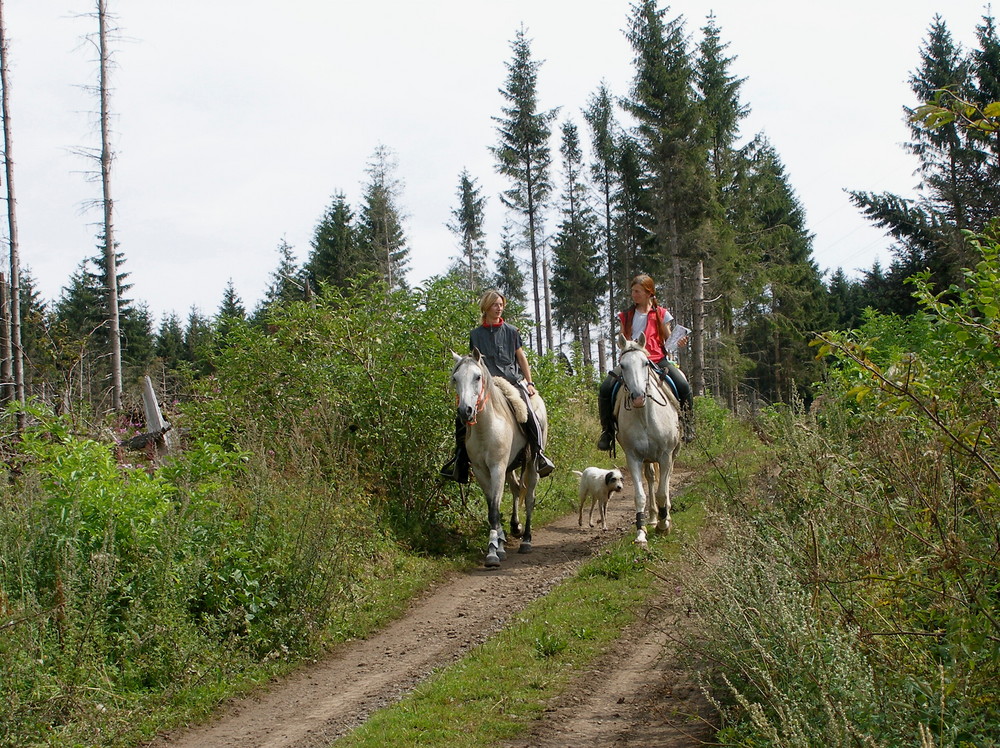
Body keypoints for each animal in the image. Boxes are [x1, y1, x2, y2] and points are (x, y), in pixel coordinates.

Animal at [454, 350, 548, 568]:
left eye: (477, 377)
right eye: (455, 378)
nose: (465, 411)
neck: (485, 428)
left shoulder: (497, 468)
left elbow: (495, 510)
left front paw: (493, 553)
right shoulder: (481, 471)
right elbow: (492, 509)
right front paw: (499, 546)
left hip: (531, 465)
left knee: (529, 498)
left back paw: (526, 540)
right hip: (510, 467)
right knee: (516, 489)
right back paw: (515, 526)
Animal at [612, 336, 684, 548]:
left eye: (645, 363)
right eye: (622, 365)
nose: (637, 398)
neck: (643, 414)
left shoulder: (666, 455)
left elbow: (662, 492)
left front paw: (663, 525)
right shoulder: (633, 457)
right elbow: (640, 495)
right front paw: (641, 532)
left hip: (672, 453)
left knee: (665, 481)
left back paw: (663, 516)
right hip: (647, 458)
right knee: (651, 478)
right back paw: (652, 517)